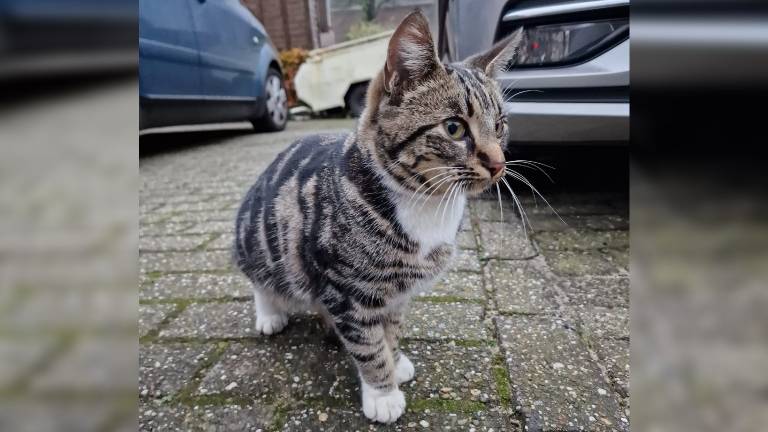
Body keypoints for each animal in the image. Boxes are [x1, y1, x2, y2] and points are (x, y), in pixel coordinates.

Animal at [234, 11, 520, 426]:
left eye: (500, 125)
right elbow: (368, 345)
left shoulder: (396, 294)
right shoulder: (348, 289)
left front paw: (395, 361)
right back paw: (270, 312)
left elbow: (391, 332)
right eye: (454, 128)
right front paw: (382, 393)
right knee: (261, 279)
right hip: (259, 241)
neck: (424, 205)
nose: (499, 164)